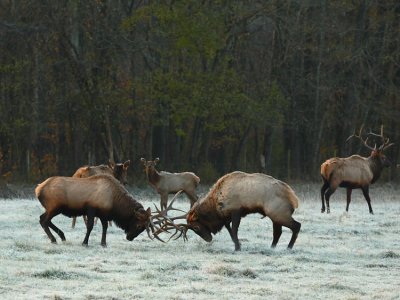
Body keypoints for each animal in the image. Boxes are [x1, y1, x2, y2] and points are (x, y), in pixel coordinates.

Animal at [152, 171, 302, 251]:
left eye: (196, 227)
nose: (208, 239)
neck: (216, 203)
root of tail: (293, 198)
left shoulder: (236, 211)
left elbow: (234, 230)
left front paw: (237, 248)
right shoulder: (226, 217)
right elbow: (230, 231)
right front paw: (238, 245)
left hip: (278, 213)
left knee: (296, 225)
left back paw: (289, 247)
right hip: (275, 216)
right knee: (278, 232)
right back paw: (272, 247)